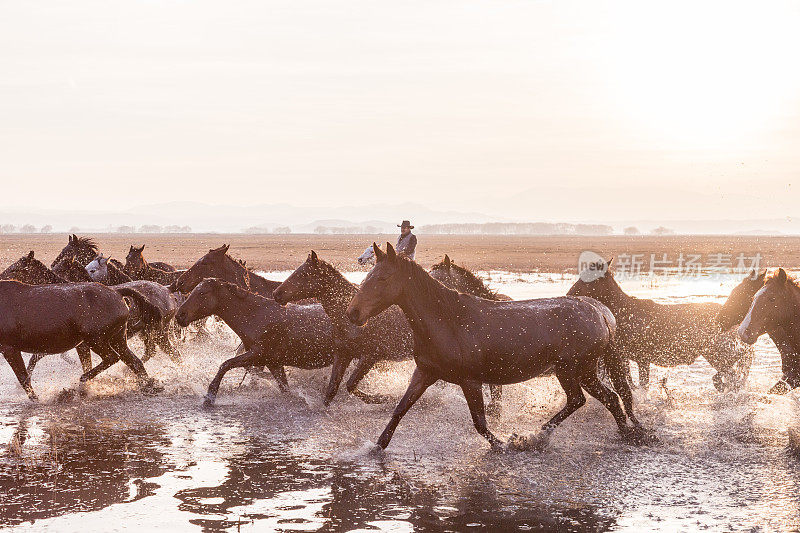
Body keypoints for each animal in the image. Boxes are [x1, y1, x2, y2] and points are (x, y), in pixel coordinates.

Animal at [175, 276, 334, 406]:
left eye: (202, 293)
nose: (180, 315)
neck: (256, 316)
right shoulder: (273, 364)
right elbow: (284, 388)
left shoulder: (257, 355)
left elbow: (225, 365)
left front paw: (210, 397)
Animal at [346, 244, 644, 448]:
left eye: (383, 278)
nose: (353, 313)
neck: (447, 319)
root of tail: (599, 311)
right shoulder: (425, 373)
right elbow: (399, 409)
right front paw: (376, 447)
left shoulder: (471, 381)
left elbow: (480, 422)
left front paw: (502, 444)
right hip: (578, 371)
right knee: (601, 398)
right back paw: (624, 434)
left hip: (575, 370)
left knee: (591, 399)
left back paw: (537, 436)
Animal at [564, 258, 752, 390]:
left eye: (588, 279)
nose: (569, 294)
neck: (624, 313)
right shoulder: (625, 358)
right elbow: (632, 384)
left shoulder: (642, 359)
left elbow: (642, 385)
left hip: (718, 355)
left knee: (734, 373)